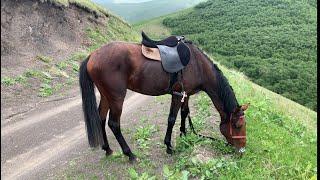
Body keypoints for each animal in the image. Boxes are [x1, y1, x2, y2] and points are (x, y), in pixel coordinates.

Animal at [79, 39, 249, 162]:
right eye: (238, 125)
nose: (242, 151)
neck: (197, 65)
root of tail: (92, 55)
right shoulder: (177, 94)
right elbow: (172, 119)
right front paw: (169, 146)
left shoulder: (186, 94)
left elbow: (184, 113)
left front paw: (184, 134)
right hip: (116, 97)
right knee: (114, 124)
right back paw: (130, 154)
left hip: (106, 95)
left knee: (101, 118)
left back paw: (107, 149)